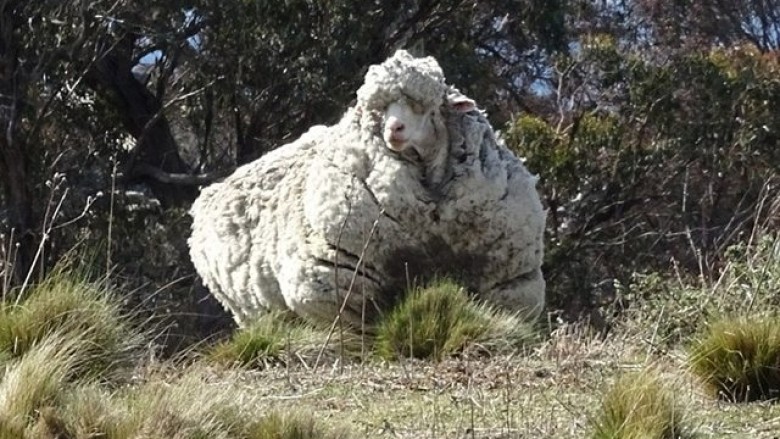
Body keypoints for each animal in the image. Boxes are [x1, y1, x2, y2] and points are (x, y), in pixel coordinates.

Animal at [187, 49, 544, 328]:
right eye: (379, 110)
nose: (394, 129)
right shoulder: (338, 285)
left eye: (425, 107)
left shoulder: (510, 282)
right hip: (250, 310)